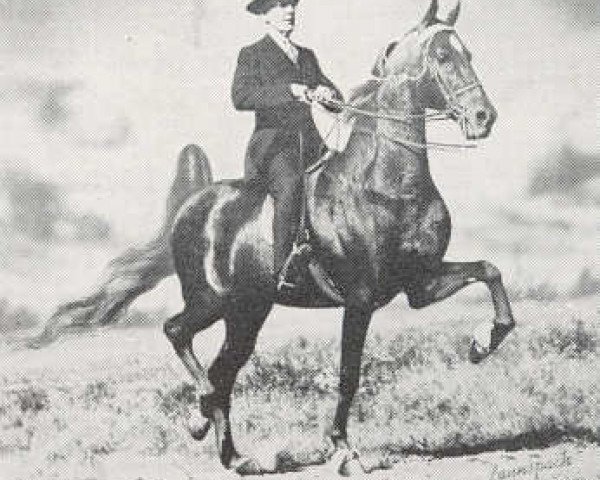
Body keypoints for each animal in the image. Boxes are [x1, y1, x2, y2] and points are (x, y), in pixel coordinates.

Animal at [161, 0, 516, 476]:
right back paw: (202, 411)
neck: (387, 185)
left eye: (470, 54)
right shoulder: (360, 298)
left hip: (247, 311)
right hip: (211, 300)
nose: (483, 118)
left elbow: (489, 271)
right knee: (179, 333)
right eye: (443, 56)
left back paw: (231, 452)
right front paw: (344, 451)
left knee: (225, 370)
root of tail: (191, 205)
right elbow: (349, 375)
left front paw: (482, 344)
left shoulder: (420, 283)